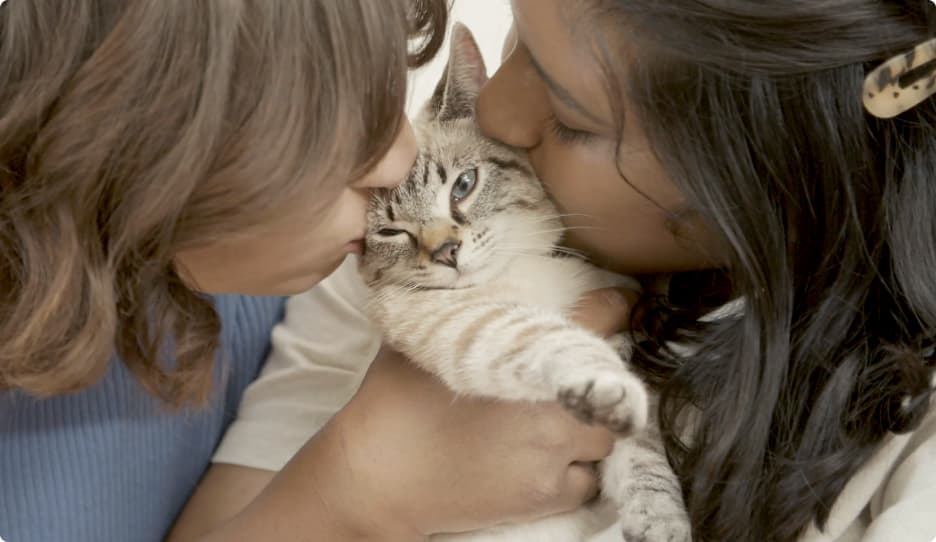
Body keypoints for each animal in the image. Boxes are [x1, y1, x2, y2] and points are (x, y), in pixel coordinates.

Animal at [358, 24, 688, 542]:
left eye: (463, 185)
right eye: (392, 232)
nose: (446, 252)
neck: (521, 266)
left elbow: (643, 452)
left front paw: (661, 518)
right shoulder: (458, 321)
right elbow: (548, 336)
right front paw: (607, 384)